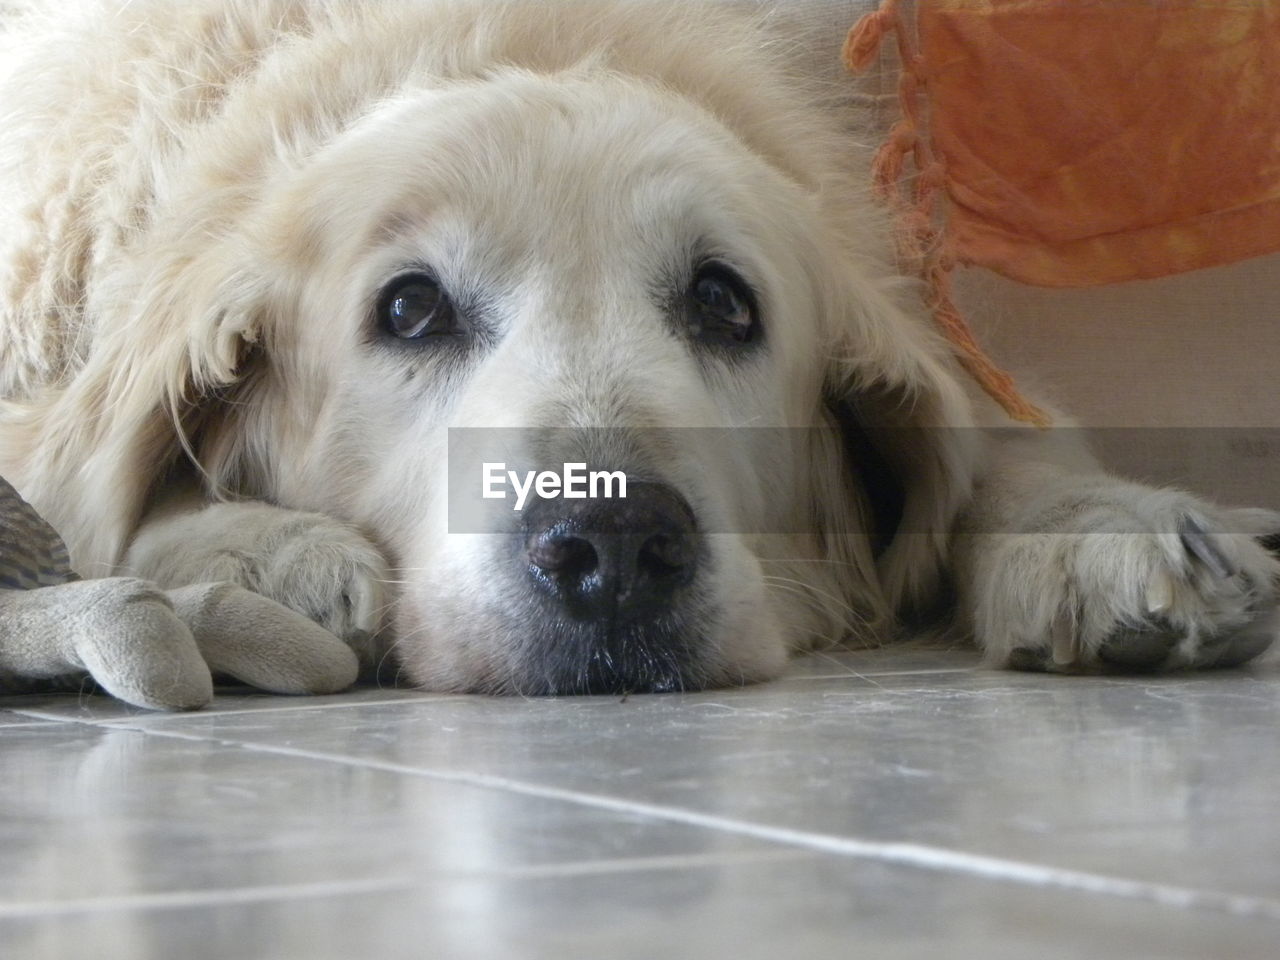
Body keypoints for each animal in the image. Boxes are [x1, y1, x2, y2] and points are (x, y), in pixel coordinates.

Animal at [0, 0, 1274, 701]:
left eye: (722, 304)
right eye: (408, 312)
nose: (612, 548)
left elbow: (996, 459)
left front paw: (1103, 535)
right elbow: (86, 505)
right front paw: (267, 552)